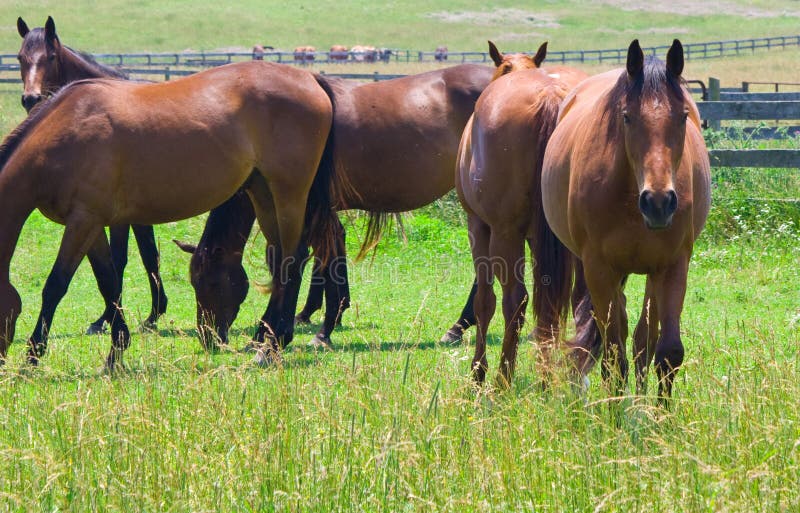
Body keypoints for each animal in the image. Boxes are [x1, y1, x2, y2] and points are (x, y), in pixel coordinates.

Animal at [0, 61, 338, 368]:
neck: (65, 131)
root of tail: (310, 79)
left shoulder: (83, 221)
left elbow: (55, 285)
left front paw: (32, 356)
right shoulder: (90, 224)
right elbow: (108, 283)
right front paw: (116, 351)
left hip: (288, 195)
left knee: (292, 261)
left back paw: (273, 345)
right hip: (263, 194)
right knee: (281, 261)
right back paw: (269, 340)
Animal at [17, 16, 168, 332]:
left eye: (51, 56)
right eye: (20, 58)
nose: (30, 99)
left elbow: (121, 259)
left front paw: (107, 319)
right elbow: (149, 255)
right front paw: (153, 313)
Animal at [456, 42, 588, 386]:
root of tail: (551, 97)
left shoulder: (479, 228)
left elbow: (484, 301)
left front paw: (478, 371)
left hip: (504, 235)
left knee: (515, 301)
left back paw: (503, 378)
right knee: (579, 302)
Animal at [540, 39, 708, 400]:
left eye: (683, 116)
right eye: (628, 117)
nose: (658, 203)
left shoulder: (673, 265)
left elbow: (667, 351)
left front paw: (657, 413)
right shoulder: (600, 268)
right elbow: (613, 355)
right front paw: (616, 411)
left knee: (643, 338)